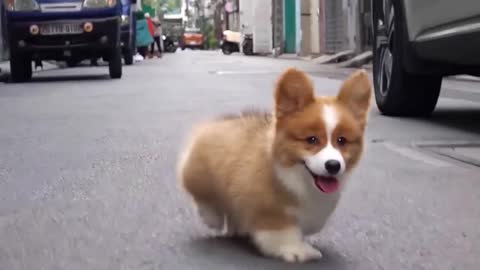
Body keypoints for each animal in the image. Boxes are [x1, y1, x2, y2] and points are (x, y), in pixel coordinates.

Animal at [176, 68, 372, 264]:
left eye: (342, 141)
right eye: (311, 140)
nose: (333, 165)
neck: (298, 180)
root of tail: (217, 122)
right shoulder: (270, 211)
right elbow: (283, 232)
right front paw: (298, 251)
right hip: (200, 174)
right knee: (204, 197)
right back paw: (212, 217)